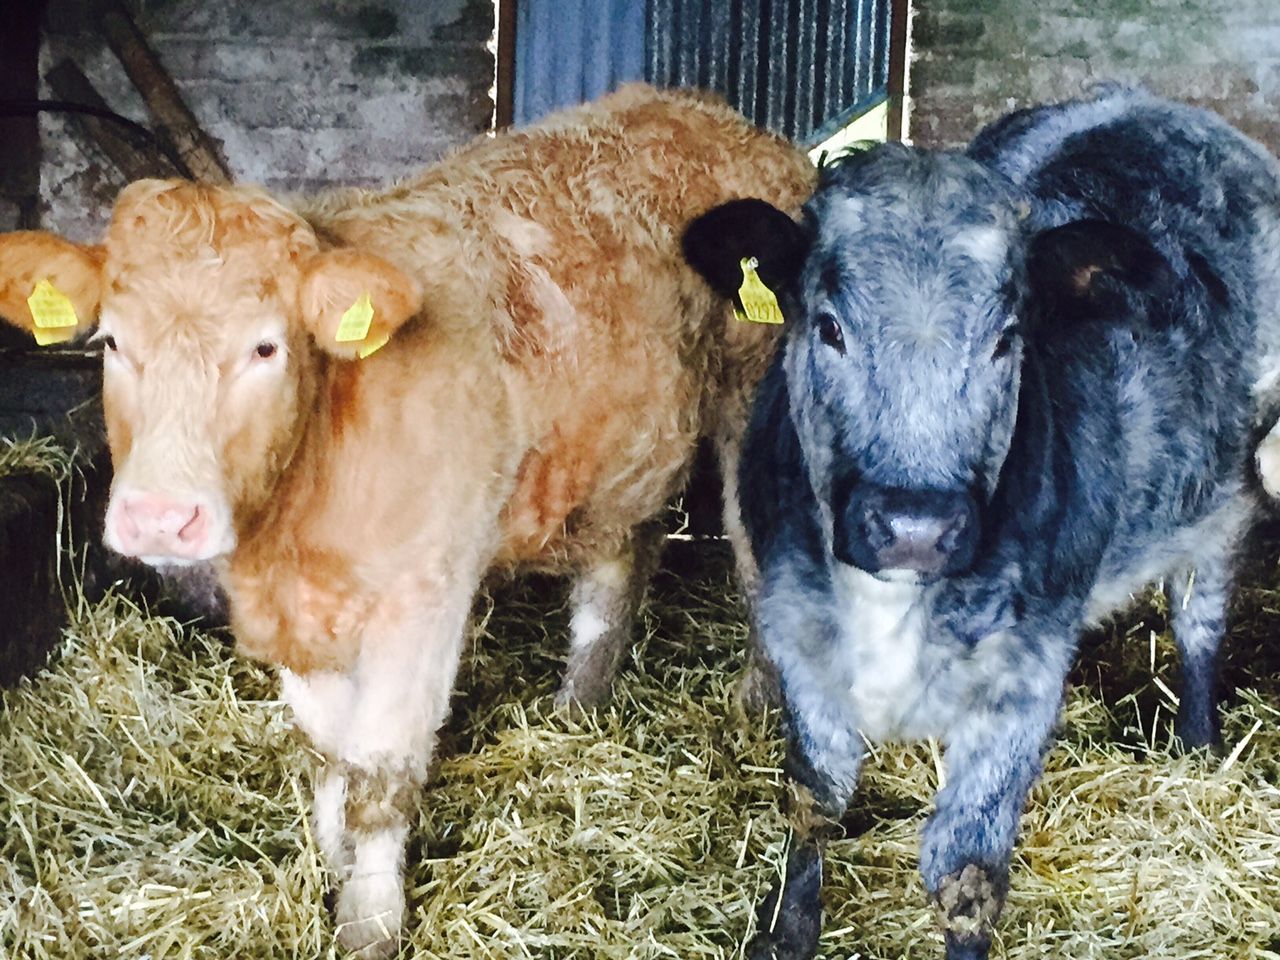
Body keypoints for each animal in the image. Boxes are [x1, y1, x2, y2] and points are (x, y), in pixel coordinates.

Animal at [0, 85, 815, 955]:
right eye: (112, 343)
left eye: (266, 348)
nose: (160, 516)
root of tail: (700, 108)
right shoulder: (302, 614)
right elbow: (331, 753)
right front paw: (332, 860)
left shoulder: (425, 596)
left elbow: (381, 773)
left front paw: (370, 918)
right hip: (617, 450)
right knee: (623, 557)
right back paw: (579, 704)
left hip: (752, 406)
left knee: (757, 554)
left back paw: (758, 701)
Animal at [681, 88, 1280, 960]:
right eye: (828, 325)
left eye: (1006, 340)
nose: (915, 526)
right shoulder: (796, 628)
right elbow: (814, 796)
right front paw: (786, 931)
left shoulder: (1022, 679)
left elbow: (967, 875)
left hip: (1230, 494)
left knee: (1198, 613)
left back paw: (1197, 745)